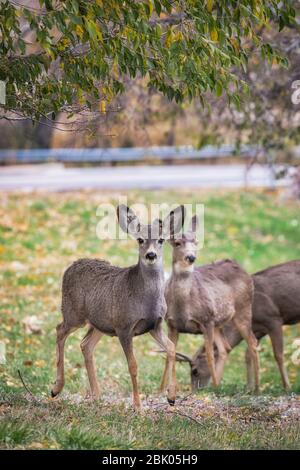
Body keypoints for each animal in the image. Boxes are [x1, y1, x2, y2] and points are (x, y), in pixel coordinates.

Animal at [51, 204, 185, 410]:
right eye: (140, 239)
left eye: (161, 240)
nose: (151, 255)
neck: (145, 300)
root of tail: (71, 266)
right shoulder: (124, 326)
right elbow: (133, 365)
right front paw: (138, 406)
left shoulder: (155, 325)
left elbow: (171, 349)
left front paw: (171, 397)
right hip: (73, 312)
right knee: (59, 330)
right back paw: (56, 388)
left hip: (100, 323)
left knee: (85, 344)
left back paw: (97, 395)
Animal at [162, 217, 260, 392]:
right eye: (177, 243)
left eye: (196, 242)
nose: (191, 257)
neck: (183, 305)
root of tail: (242, 269)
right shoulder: (171, 324)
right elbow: (169, 354)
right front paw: (161, 390)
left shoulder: (206, 320)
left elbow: (208, 356)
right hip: (219, 323)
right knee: (225, 348)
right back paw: (216, 386)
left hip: (243, 310)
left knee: (252, 342)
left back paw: (256, 388)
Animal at [179, 258, 298, 392]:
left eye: (195, 371)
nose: (195, 391)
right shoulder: (258, 330)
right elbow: (248, 355)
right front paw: (249, 388)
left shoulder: (274, 320)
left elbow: (278, 355)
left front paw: (287, 387)